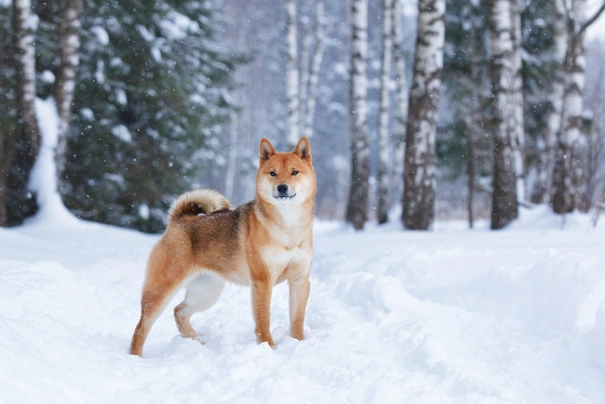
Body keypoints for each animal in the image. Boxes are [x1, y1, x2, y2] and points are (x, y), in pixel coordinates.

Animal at [129, 137, 316, 356]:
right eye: (273, 173)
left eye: (294, 172)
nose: (282, 187)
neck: (288, 227)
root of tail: (179, 220)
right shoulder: (262, 281)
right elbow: (263, 321)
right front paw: (268, 347)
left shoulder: (299, 280)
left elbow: (297, 319)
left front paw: (299, 343)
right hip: (160, 291)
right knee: (141, 327)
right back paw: (135, 356)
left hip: (207, 292)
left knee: (179, 311)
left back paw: (194, 340)